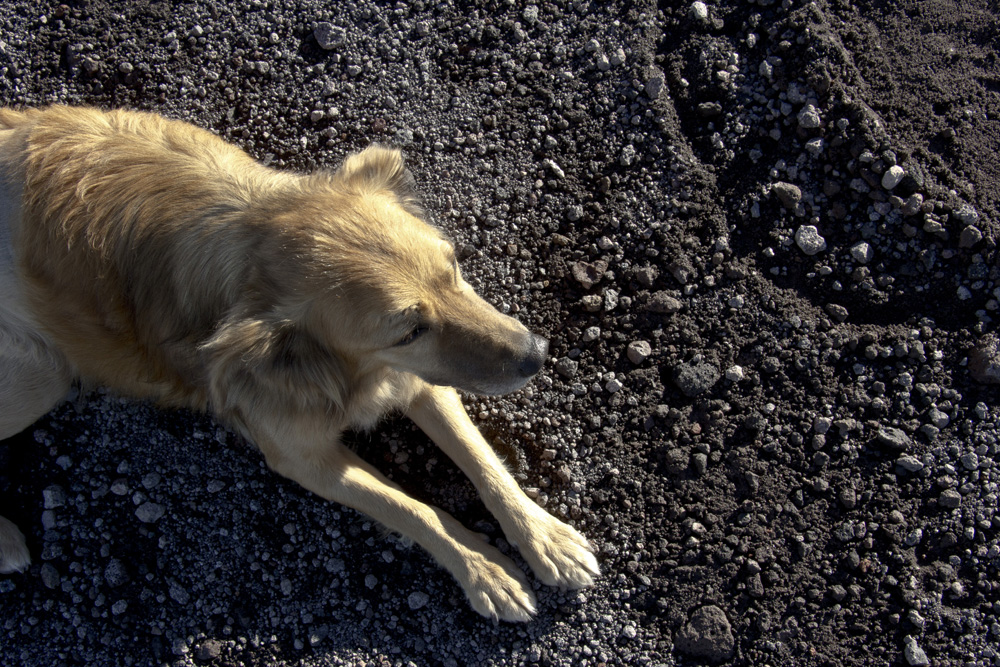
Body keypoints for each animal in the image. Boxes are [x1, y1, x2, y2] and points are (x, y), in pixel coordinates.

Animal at [0, 107, 592, 624]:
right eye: (408, 330)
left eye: (454, 267)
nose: (537, 354)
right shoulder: (302, 455)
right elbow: (412, 509)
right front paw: (483, 570)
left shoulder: (420, 380)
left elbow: (482, 460)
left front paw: (545, 537)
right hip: (42, 375)